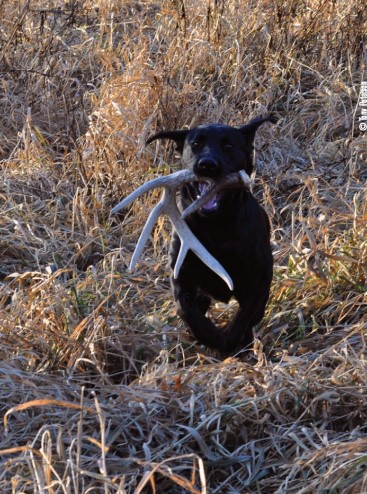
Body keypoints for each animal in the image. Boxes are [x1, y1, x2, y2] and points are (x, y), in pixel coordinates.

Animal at [148, 117, 274, 354]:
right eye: (196, 144)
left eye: (228, 146)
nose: (206, 164)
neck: (215, 226)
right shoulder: (182, 278)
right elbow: (189, 313)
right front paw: (210, 338)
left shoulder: (256, 281)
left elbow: (244, 317)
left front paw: (229, 341)